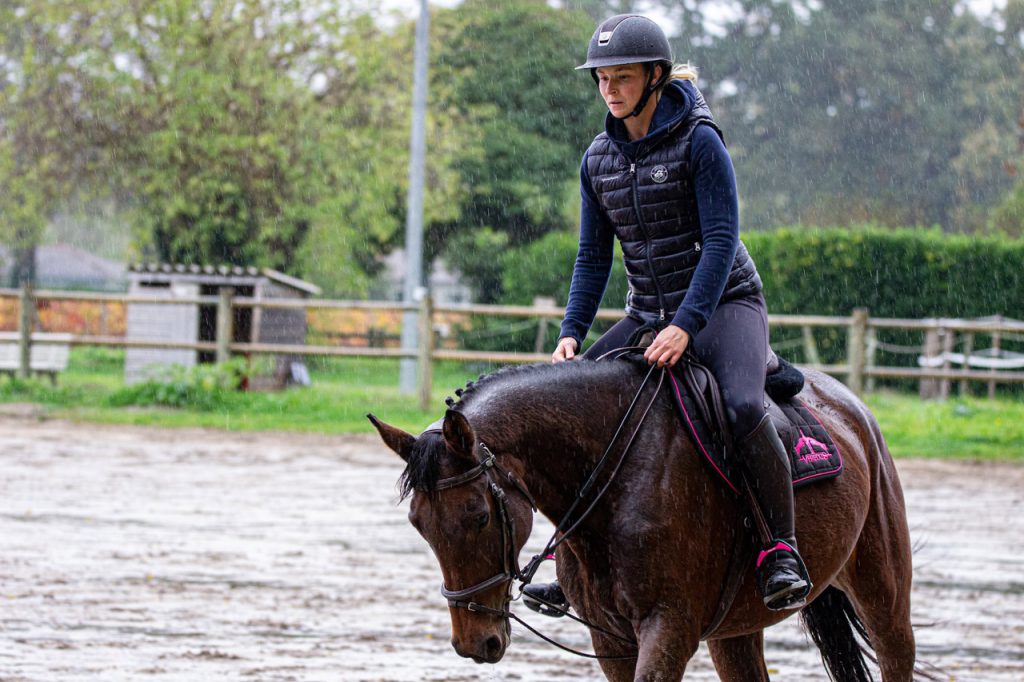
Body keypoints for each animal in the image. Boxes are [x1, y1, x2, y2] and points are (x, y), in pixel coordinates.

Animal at [372, 358, 917, 675]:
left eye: (480, 517)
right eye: (419, 525)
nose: (475, 642)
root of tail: (850, 407)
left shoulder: (668, 628)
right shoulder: (608, 636)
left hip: (883, 594)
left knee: (895, 651)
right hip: (735, 631)